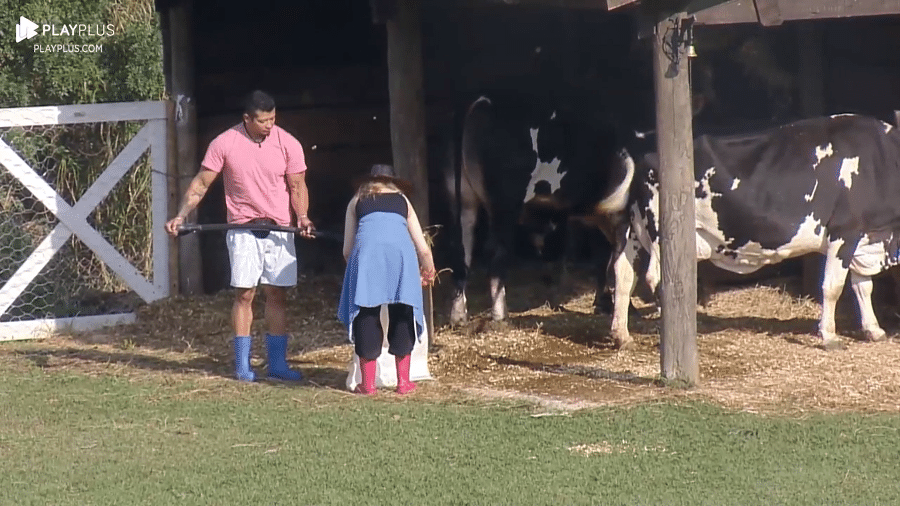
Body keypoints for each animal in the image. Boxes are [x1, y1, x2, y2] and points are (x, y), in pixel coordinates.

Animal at [442, 93, 632, 326]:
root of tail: (479, 101)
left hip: (462, 200)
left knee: (461, 253)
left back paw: (458, 317)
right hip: (503, 206)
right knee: (495, 255)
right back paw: (500, 316)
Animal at [596, 112, 900, 350]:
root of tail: (641, 140)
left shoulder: (868, 236)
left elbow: (864, 285)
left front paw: (873, 330)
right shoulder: (845, 231)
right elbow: (833, 287)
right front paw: (829, 336)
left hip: (629, 229)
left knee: (623, 274)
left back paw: (621, 335)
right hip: (663, 232)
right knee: (656, 278)